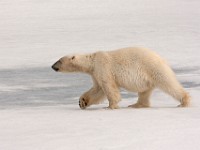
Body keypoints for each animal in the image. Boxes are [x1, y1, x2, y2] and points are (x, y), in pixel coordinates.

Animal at [52, 47, 191, 109]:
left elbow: (108, 87)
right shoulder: (96, 73)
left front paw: (111, 106)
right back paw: (136, 104)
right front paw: (82, 102)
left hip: (153, 68)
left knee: (168, 84)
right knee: (144, 92)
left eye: (59, 60)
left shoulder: (103, 67)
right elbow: (98, 89)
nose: (53, 66)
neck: (92, 60)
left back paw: (184, 101)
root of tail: (162, 59)